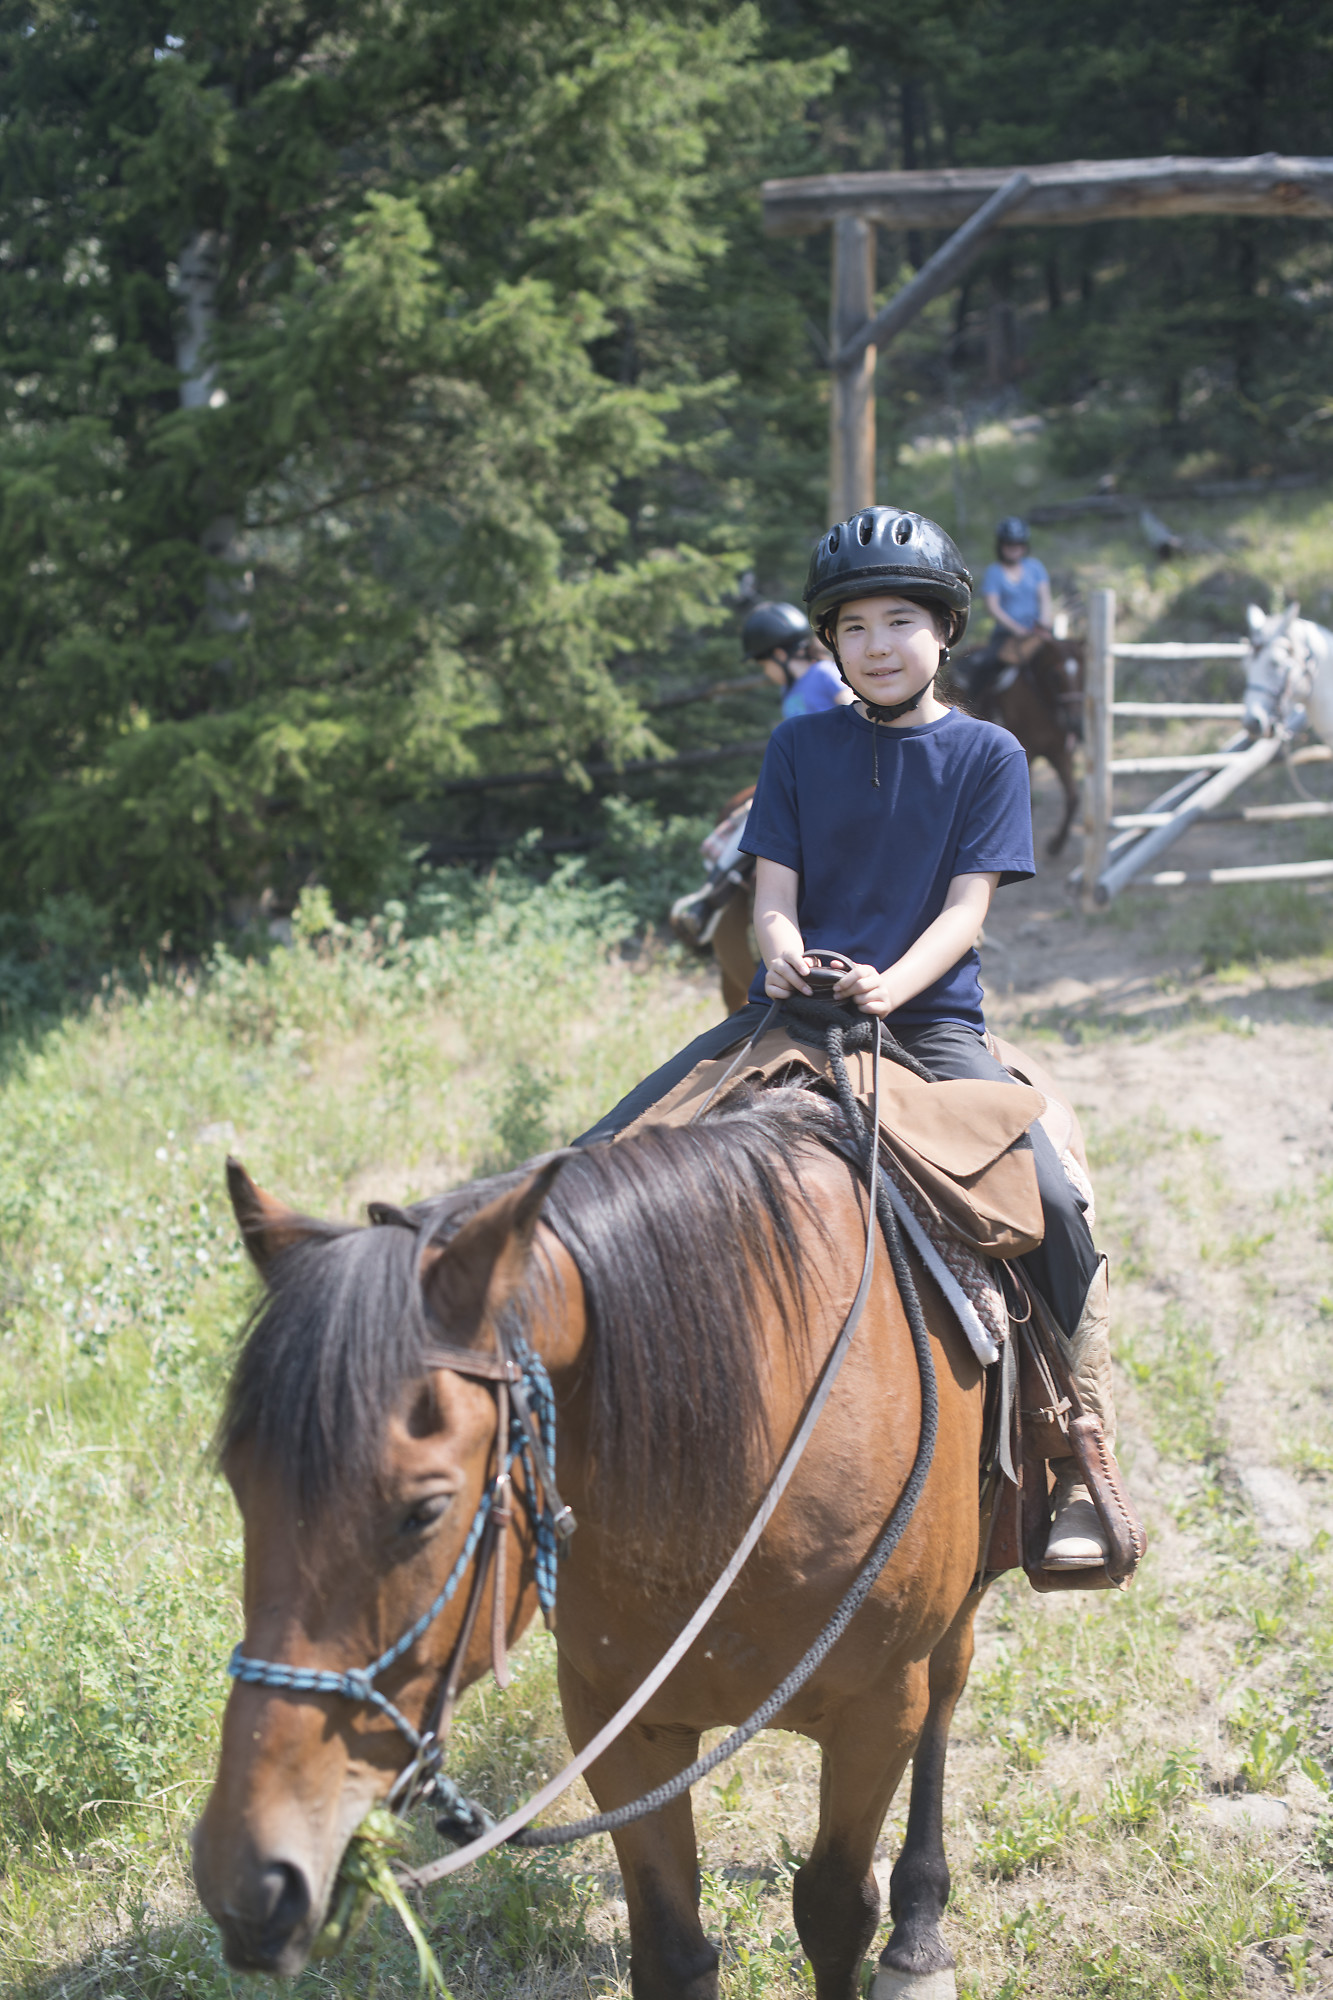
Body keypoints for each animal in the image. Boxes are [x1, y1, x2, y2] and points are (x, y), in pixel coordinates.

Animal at [192, 1091, 987, 2000]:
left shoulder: (877, 1716)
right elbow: (672, 1950)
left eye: (425, 1510)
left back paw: (918, 1936)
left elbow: (832, 1909)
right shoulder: (617, 1725)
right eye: (238, 1483)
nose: (248, 1883)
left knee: (949, 1685)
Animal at [948, 633, 1086, 857]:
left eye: (1083, 673)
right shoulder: (1028, 753)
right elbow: (1029, 802)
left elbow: (1073, 799)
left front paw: (1056, 845)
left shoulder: (1059, 753)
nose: (1075, 723)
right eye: (1056, 675)